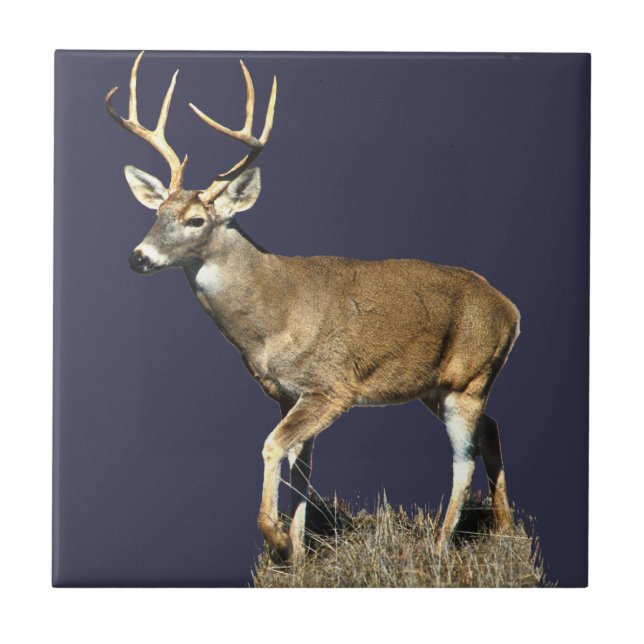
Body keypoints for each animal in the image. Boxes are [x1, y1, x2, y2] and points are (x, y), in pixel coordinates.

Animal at [105, 52, 521, 563]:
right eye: (156, 214)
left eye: (196, 219)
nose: (138, 257)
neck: (272, 319)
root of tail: (511, 309)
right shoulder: (288, 393)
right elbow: (301, 468)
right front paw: (300, 553)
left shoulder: (332, 386)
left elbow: (272, 447)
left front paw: (278, 538)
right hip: (436, 387)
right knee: (492, 429)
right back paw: (507, 530)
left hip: (470, 377)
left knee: (463, 458)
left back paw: (440, 547)